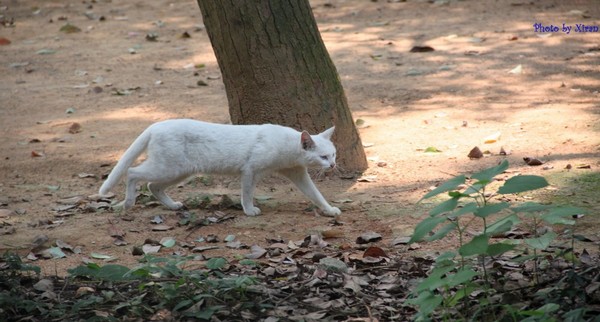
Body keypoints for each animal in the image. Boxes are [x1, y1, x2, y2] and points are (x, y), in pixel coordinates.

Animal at [99, 119, 342, 218]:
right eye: (323, 156)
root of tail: (156, 125)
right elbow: (247, 193)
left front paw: (329, 210)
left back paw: (173, 205)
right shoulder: (250, 170)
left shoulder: (297, 173)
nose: (332, 165)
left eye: (333, 154)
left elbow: (316, 194)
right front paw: (249, 210)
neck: (288, 148)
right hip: (167, 167)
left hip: (179, 171)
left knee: (152, 186)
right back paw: (128, 203)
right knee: (133, 173)